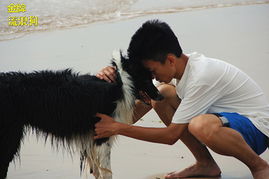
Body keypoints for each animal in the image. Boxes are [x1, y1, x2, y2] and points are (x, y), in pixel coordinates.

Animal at [0, 51, 163, 178]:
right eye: (147, 79)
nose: (161, 96)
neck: (120, 84)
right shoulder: (102, 137)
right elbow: (106, 172)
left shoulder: (90, 139)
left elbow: (96, 170)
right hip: (10, 138)